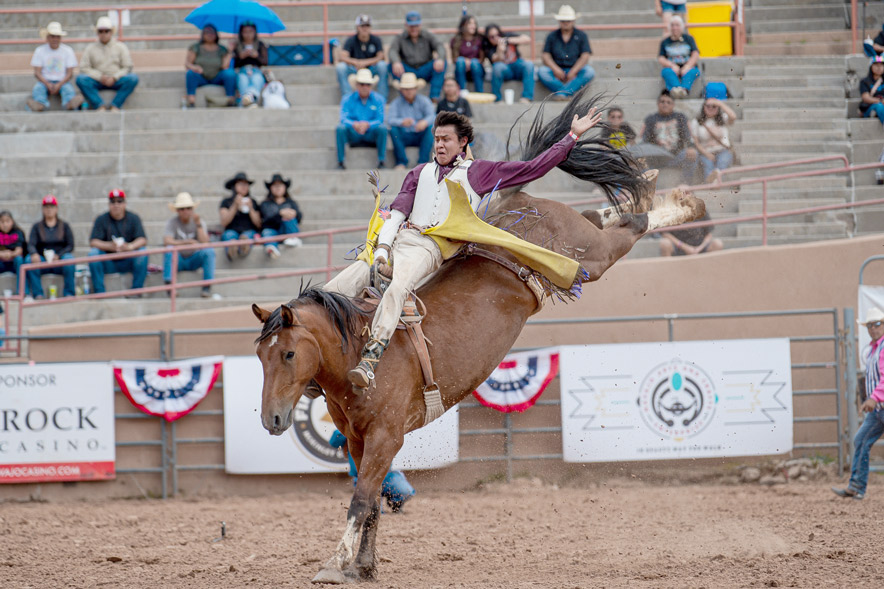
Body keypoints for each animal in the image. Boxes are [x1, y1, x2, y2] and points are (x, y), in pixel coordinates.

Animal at [250, 89, 704, 580]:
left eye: (289, 354)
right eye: (261, 357)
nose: (271, 419)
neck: (351, 350)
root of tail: (515, 203)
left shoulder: (386, 437)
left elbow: (361, 500)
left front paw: (336, 565)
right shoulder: (357, 439)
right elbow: (372, 504)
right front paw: (364, 566)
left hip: (590, 258)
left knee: (631, 227)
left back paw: (684, 205)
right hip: (581, 240)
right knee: (602, 214)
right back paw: (655, 189)